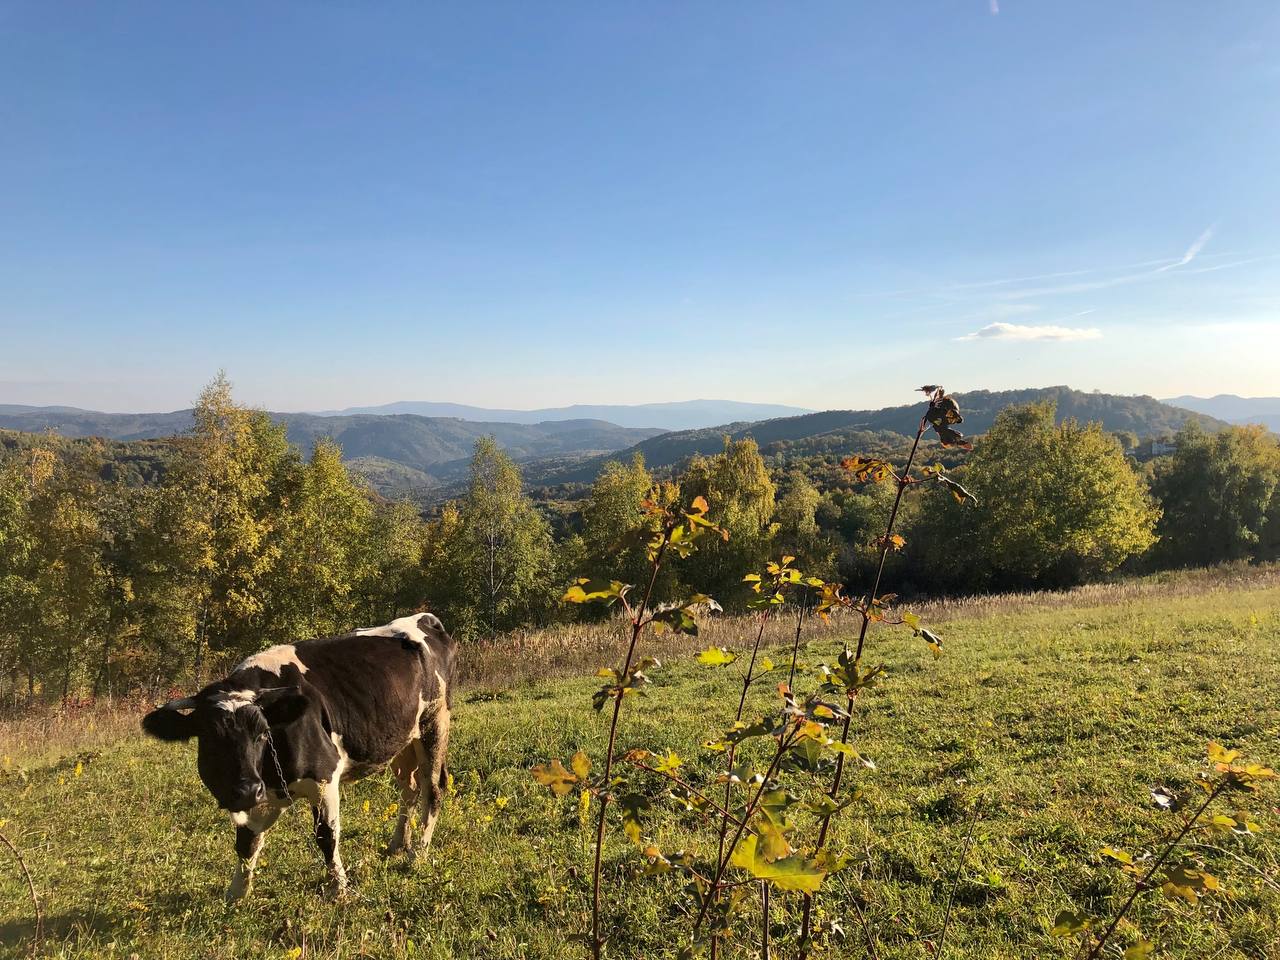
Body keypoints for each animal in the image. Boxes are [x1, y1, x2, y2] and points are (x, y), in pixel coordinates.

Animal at [141, 613, 455, 901]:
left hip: (434, 723)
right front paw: (237, 894)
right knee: (409, 789)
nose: (246, 789)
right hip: (401, 740)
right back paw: (397, 845)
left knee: (433, 788)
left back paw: (418, 855)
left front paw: (338, 889)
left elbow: (326, 836)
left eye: (262, 733)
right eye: (208, 738)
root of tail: (424, 618)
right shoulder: (261, 795)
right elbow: (246, 842)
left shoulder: (324, 777)